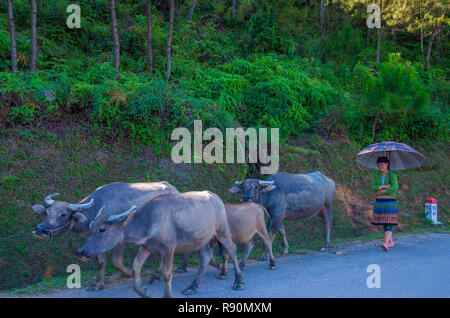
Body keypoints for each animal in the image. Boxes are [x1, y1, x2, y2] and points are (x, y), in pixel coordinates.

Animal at [32, 180, 179, 290]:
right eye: (47, 212)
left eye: (63, 214)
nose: (40, 229)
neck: (98, 206)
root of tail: (173, 189)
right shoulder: (98, 240)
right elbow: (101, 261)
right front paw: (98, 284)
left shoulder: (117, 240)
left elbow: (117, 262)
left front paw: (129, 274)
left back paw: (156, 276)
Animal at [77, 191, 246, 298]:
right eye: (91, 227)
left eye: (102, 229)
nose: (81, 251)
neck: (149, 221)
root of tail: (215, 197)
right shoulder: (146, 247)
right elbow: (136, 267)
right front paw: (144, 291)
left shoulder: (168, 249)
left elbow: (167, 274)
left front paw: (167, 295)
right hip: (202, 238)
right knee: (206, 257)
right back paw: (192, 287)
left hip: (222, 231)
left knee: (232, 250)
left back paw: (238, 282)